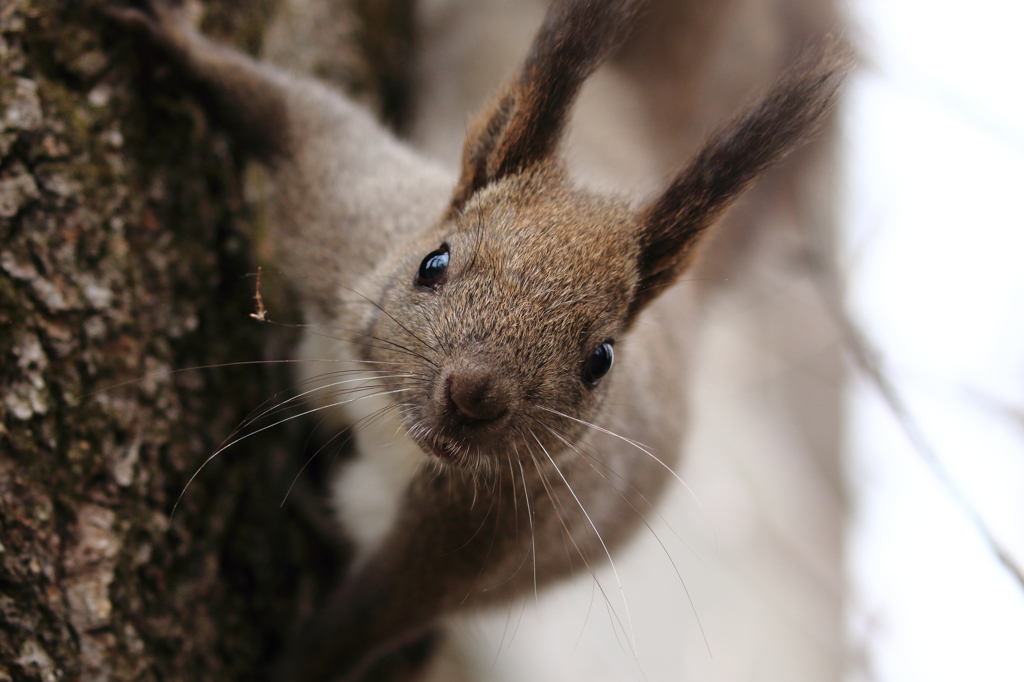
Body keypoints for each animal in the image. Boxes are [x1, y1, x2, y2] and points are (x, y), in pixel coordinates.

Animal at [99, 1, 851, 679]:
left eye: (601, 359)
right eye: (433, 263)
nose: (475, 395)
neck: (395, 425)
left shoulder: (484, 534)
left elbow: (364, 622)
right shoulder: (349, 216)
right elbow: (301, 122)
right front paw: (177, 42)